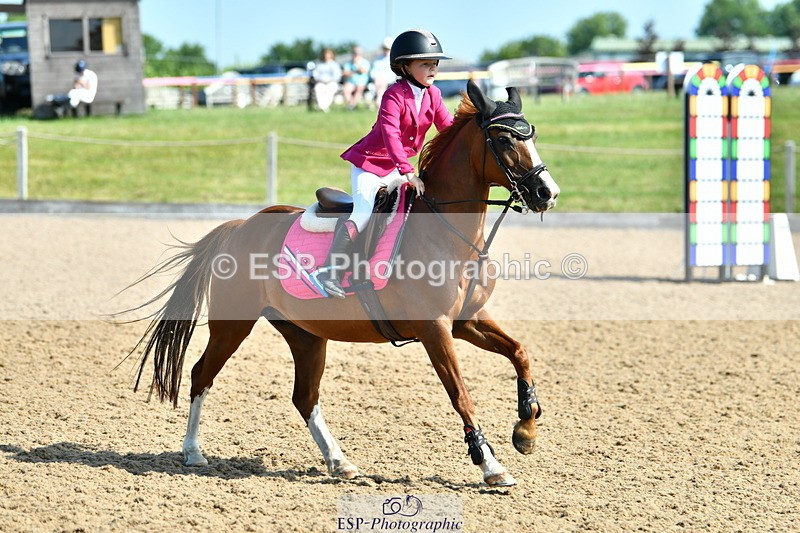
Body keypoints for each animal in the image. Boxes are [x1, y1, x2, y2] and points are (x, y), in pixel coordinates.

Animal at [126, 80, 560, 487]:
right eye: (504, 139)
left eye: (532, 136)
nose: (547, 193)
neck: (447, 232)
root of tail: (240, 226)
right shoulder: (435, 327)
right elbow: (461, 395)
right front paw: (490, 465)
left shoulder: (466, 320)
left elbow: (519, 353)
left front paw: (526, 430)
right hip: (233, 325)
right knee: (202, 375)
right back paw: (193, 452)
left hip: (305, 333)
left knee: (304, 396)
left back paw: (339, 461)